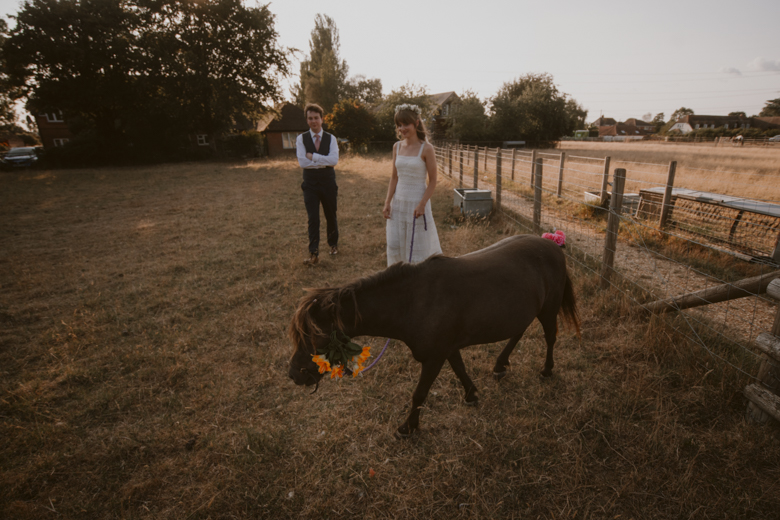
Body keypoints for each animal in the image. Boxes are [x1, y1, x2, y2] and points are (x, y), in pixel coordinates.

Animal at [288, 234, 580, 438]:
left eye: (315, 335)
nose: (294, 374)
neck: (413, 302)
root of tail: (553, 246)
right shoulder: (448, 349)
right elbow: (461, 369)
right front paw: (471, 395)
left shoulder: (434, 357)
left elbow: (419, 394)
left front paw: (407, 429)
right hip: (524, 310)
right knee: (518, 332)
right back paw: (500, 365)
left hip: (548, 309)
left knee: (550, 337)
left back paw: (546, 370)